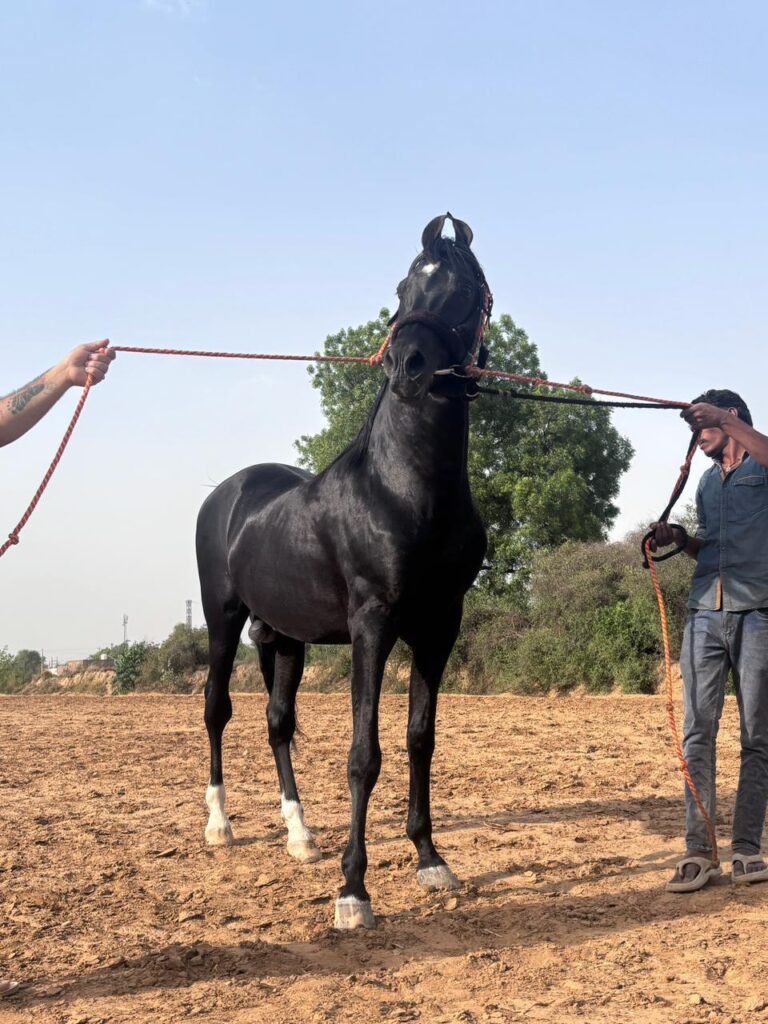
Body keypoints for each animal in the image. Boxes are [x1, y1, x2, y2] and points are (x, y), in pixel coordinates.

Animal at [195, 213, 491, 929]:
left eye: (465, 291)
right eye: (403, 284)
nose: (408, 366)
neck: (405, 490)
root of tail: (231, 492)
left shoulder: (438, 627)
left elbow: (419, 739)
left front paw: (430, 859)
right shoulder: (372, 626)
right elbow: (364, 754)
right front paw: (353, 891)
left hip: (285, 637)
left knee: (276, 721)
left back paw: (300, 835)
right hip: (222, 619)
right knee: (217, 709)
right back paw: (219, 825)